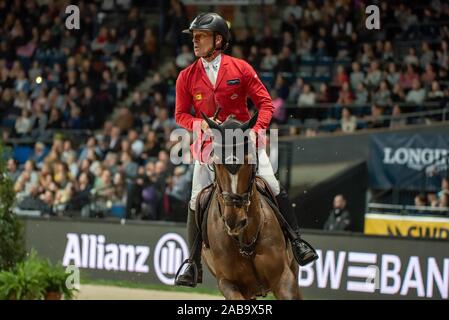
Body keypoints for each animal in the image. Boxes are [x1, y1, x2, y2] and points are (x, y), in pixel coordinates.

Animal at [199, 110, 300, 300]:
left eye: (249, 160)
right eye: (216, 162)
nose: (234, 221)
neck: (245, 241)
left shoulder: (284, 278)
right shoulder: (227, 284)